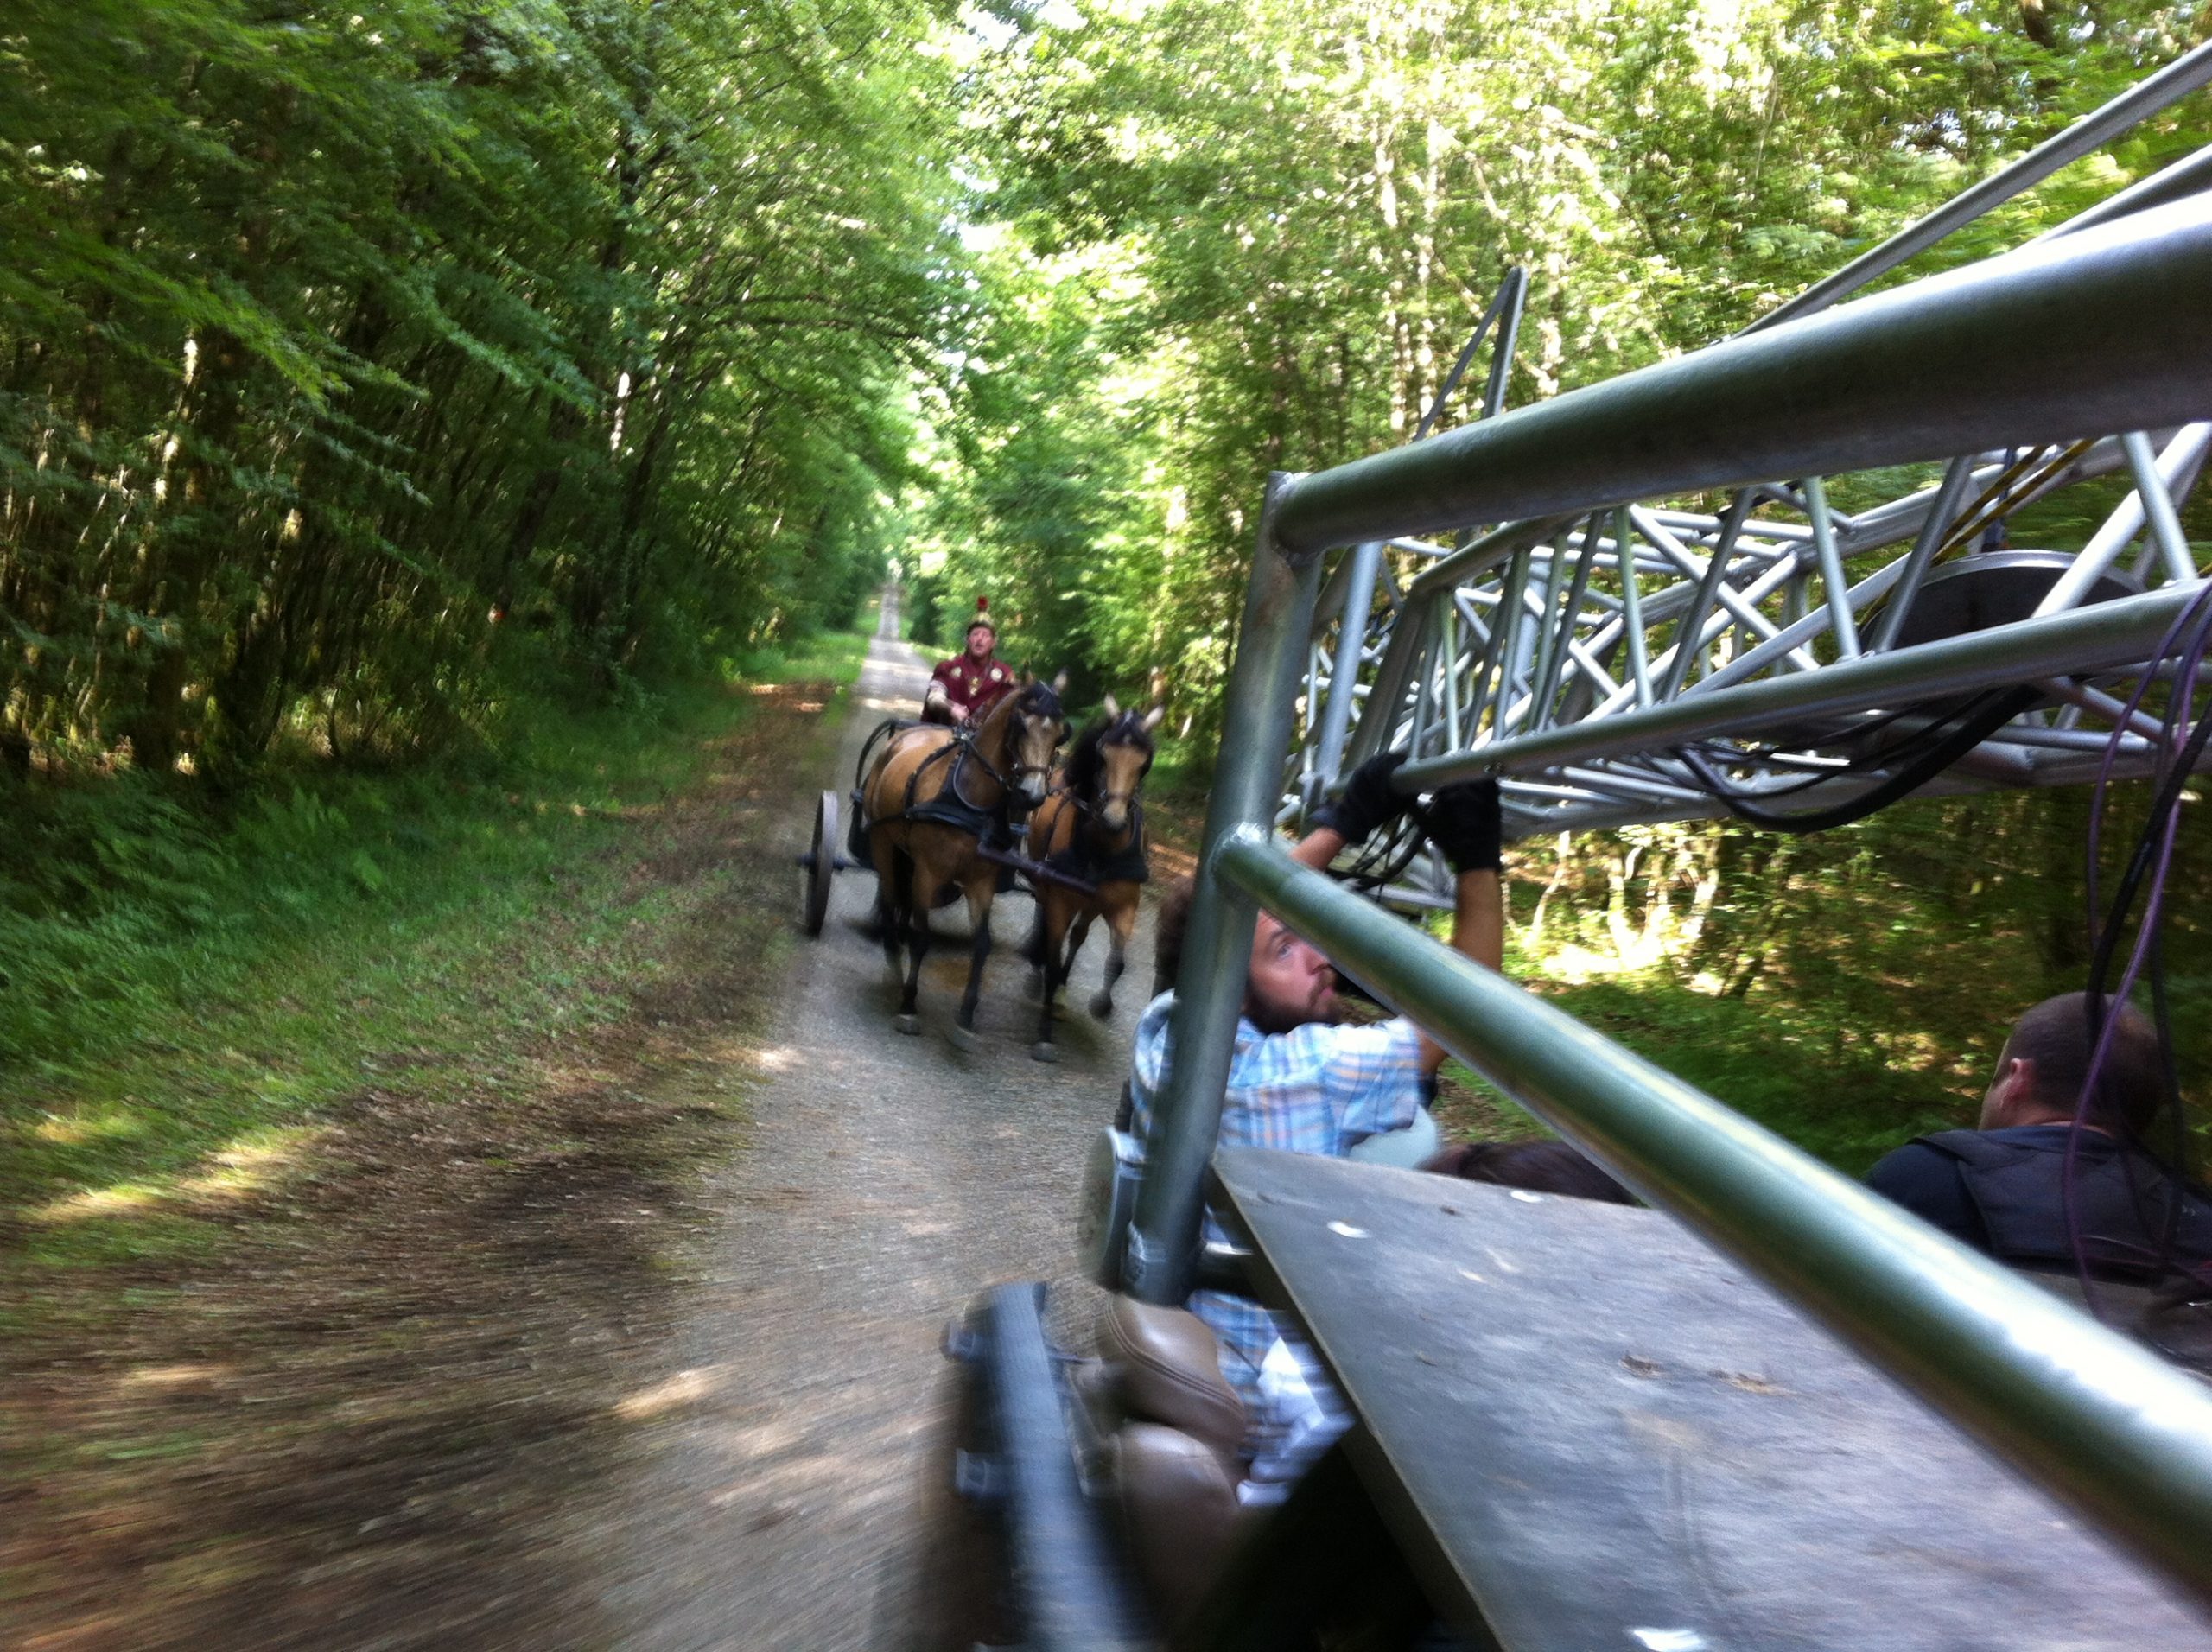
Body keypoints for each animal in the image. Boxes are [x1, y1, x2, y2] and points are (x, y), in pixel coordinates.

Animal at [862, 672, 1071, 1048]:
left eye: (1062, 731)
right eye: (1020, 725)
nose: (1033, 794)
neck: (969, 799)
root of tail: (901, 738)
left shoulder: (981, 881)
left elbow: (982, 943)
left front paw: (967, 1017)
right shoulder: (928, 872)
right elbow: (921, 938)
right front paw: (909, 1006)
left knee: (900, 903)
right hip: (883, 841)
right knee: (889, 899)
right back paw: (893, 964)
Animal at [1017, 694, 1167, 1061]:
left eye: (1145, 762)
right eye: (1103, 754)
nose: (1113, 819)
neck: (1102, 847)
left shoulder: (1124, 906)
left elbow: (1117, 962)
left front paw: (1101, 1003)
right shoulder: (1060, 901)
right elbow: (1052, 954)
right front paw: (1044, 1033)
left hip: (1092, 903)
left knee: (1079, 935)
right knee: (1043, 915)